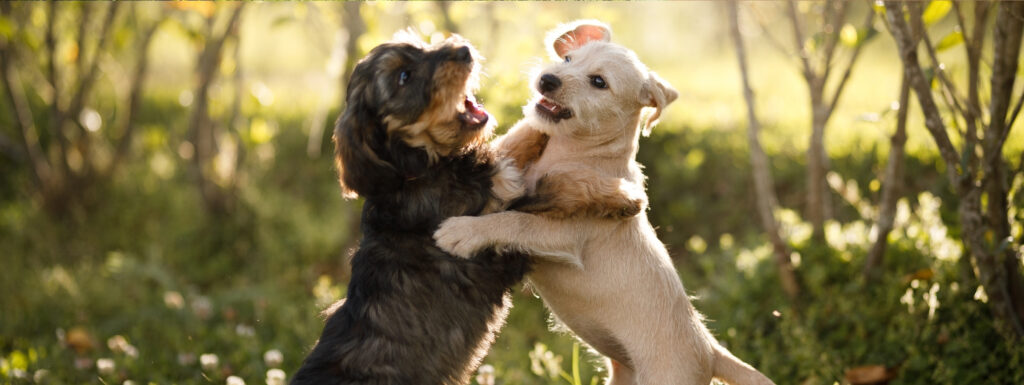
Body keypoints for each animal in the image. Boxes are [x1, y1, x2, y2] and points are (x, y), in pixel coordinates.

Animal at [432, 20, 774, 385]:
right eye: (568, 59)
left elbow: (516, 220)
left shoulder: (565, 235)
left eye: (599, 82)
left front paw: (461, 233)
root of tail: (710, 351)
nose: (547, 79)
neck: (576, 152)